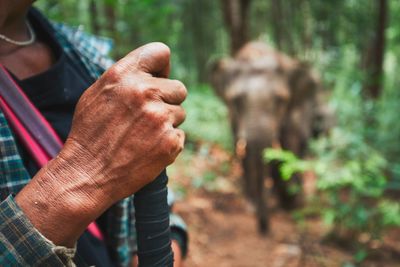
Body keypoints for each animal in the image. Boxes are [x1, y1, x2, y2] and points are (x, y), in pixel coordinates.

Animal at [211, 42, 330, 234]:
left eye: (280, 100)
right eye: (236, 101)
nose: (263, 228)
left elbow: (290, 144)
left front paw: (291, 203)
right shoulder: (234, 120)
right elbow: (244, 152)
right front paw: (252, 205)